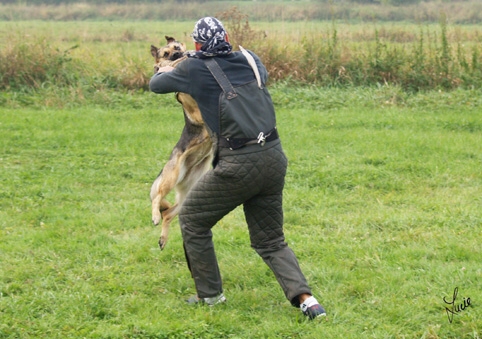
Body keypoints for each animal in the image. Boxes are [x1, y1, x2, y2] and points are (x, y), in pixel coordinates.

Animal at [149, 36, 213, 250]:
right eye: (166, 53)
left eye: (176, 47)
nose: (177, 54)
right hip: (170, 178)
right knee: (157, 198)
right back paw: (154, 217)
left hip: (187, 197)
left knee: (169, 214)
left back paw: (162, 239)